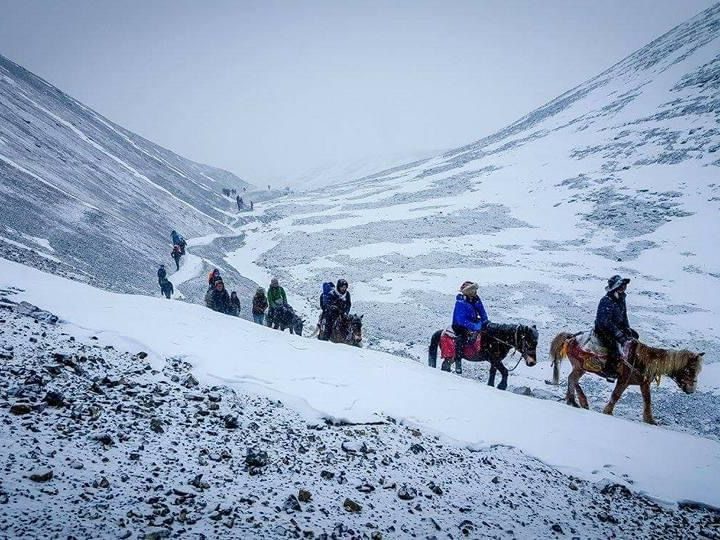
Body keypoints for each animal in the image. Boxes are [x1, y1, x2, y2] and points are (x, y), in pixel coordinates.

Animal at [552, 332, 704, 424]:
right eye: (690, 370)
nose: (691, 390)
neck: (642, 360)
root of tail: (571, 338)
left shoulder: (644, 383)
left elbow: (647, 400)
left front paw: (650, 420)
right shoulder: (623, 380)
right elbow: (616, 395)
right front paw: (607, 411)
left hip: (580, 368)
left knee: (573, 381)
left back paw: (576, 401)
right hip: (580, 367)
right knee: (572, 379)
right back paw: (575, 401)